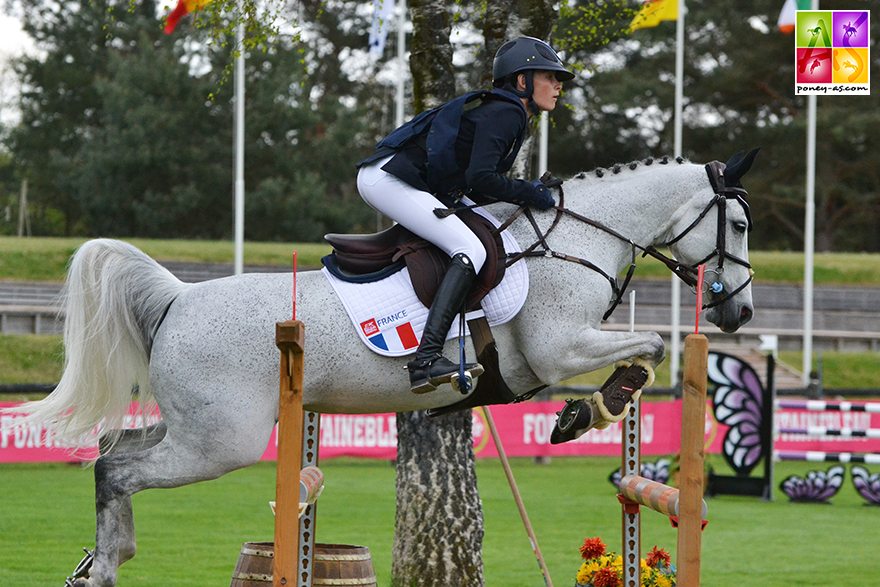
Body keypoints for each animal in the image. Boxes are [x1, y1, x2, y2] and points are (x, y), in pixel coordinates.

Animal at [3, 149, 756, 584]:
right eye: (742, 226)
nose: (740, 312)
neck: (575, 236)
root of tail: (179, 297)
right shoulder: (559, 346)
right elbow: (651, 346)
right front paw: (586, 410)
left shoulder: (564, 349)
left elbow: (649, 348)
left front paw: (588, 410)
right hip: (222, 441)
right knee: (116, 469)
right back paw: (106, 566)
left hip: (194, 429)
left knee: (115, 451)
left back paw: (107, 556)